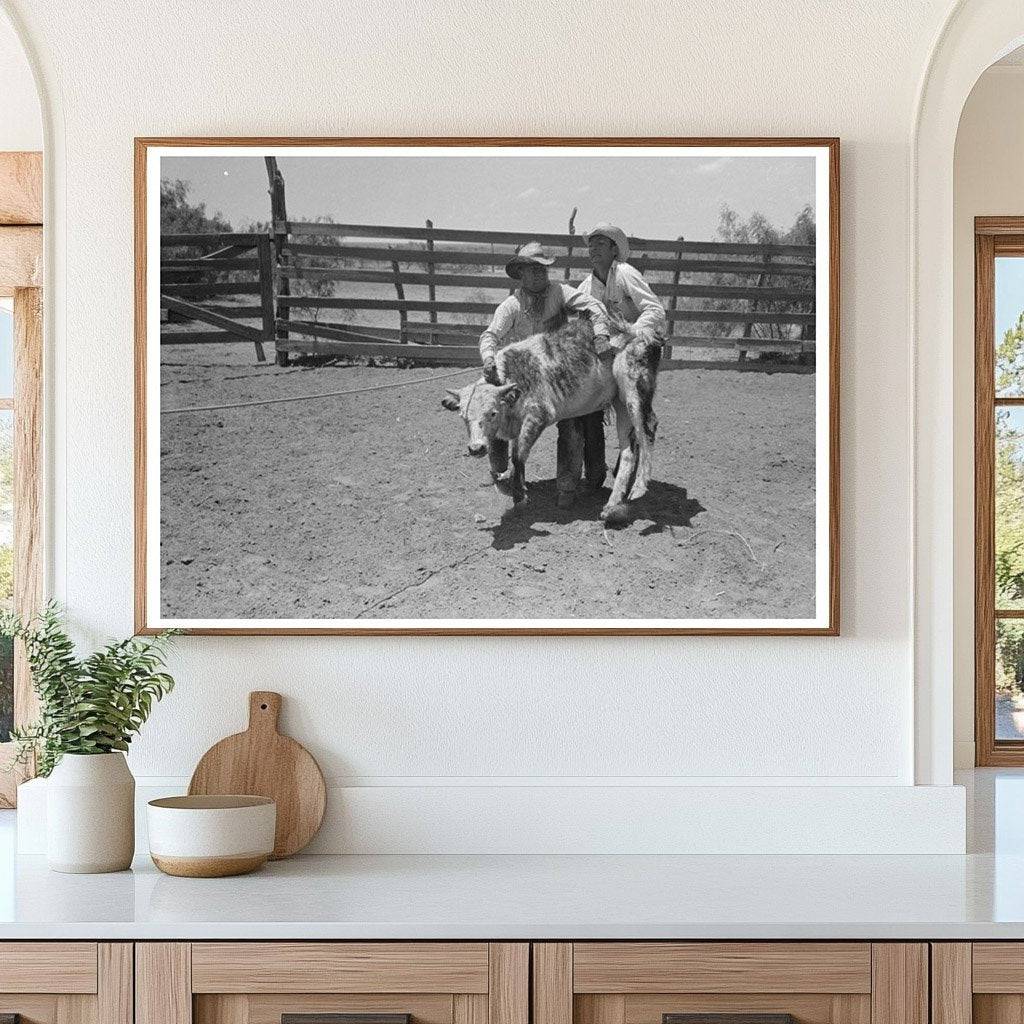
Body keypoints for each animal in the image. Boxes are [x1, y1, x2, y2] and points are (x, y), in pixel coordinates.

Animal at [444, 317, 659, 520]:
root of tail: (640, 331)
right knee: (629, 449)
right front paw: (521, 487)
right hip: (620, 403)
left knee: (648, 428)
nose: (476, 448)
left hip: (634, 393)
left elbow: (518, 455)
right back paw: (612, 504)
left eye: (492, 412)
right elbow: (515, 455)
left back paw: (639, 487)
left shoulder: (538, 415)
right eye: (463, 416)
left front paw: (519, 497)